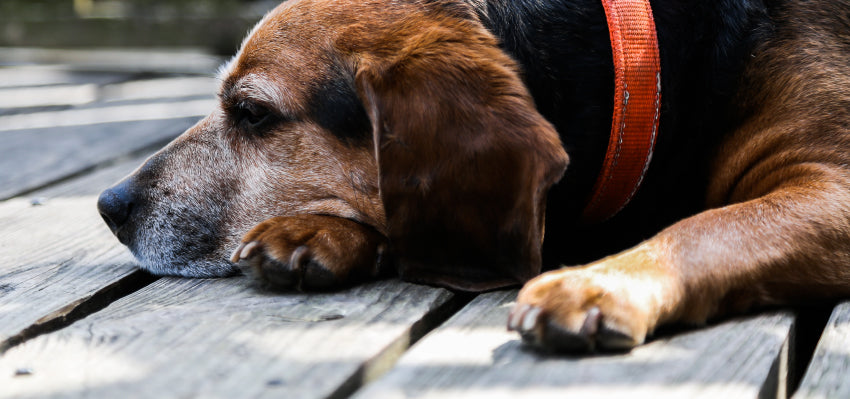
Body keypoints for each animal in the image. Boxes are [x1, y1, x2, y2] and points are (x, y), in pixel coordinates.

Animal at [96, 0, 848, 352]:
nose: (109, 204)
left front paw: (600, 282)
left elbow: (709, 227)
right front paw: (315, 232)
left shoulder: (832, 185)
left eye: (252, 113)